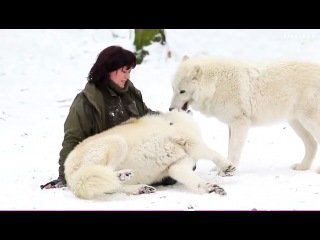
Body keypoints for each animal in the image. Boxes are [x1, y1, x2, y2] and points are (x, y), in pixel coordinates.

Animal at [65, 109, 235, 200]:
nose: (187, 109)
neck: (173, 121)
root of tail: (69, 173)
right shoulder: (190, 141)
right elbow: (212, 153)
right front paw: (228, 167)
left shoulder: (177, 166)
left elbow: (193, 179)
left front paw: (211, 188)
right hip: (118, 142)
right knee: (108, 172)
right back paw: (124, 175)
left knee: (113, 185)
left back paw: (140, 188)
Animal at [170, 56, 320, 172]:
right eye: (173, 88)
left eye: (182, 91)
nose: (170, 109)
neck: (216, 85)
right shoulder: (231, 125)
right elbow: (229, 148)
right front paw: (223, 167)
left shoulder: (240, 122)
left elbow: (233, 149)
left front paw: (229, 170)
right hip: (296, 123)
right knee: (312, 144)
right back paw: (302, 167)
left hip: (308, 121)